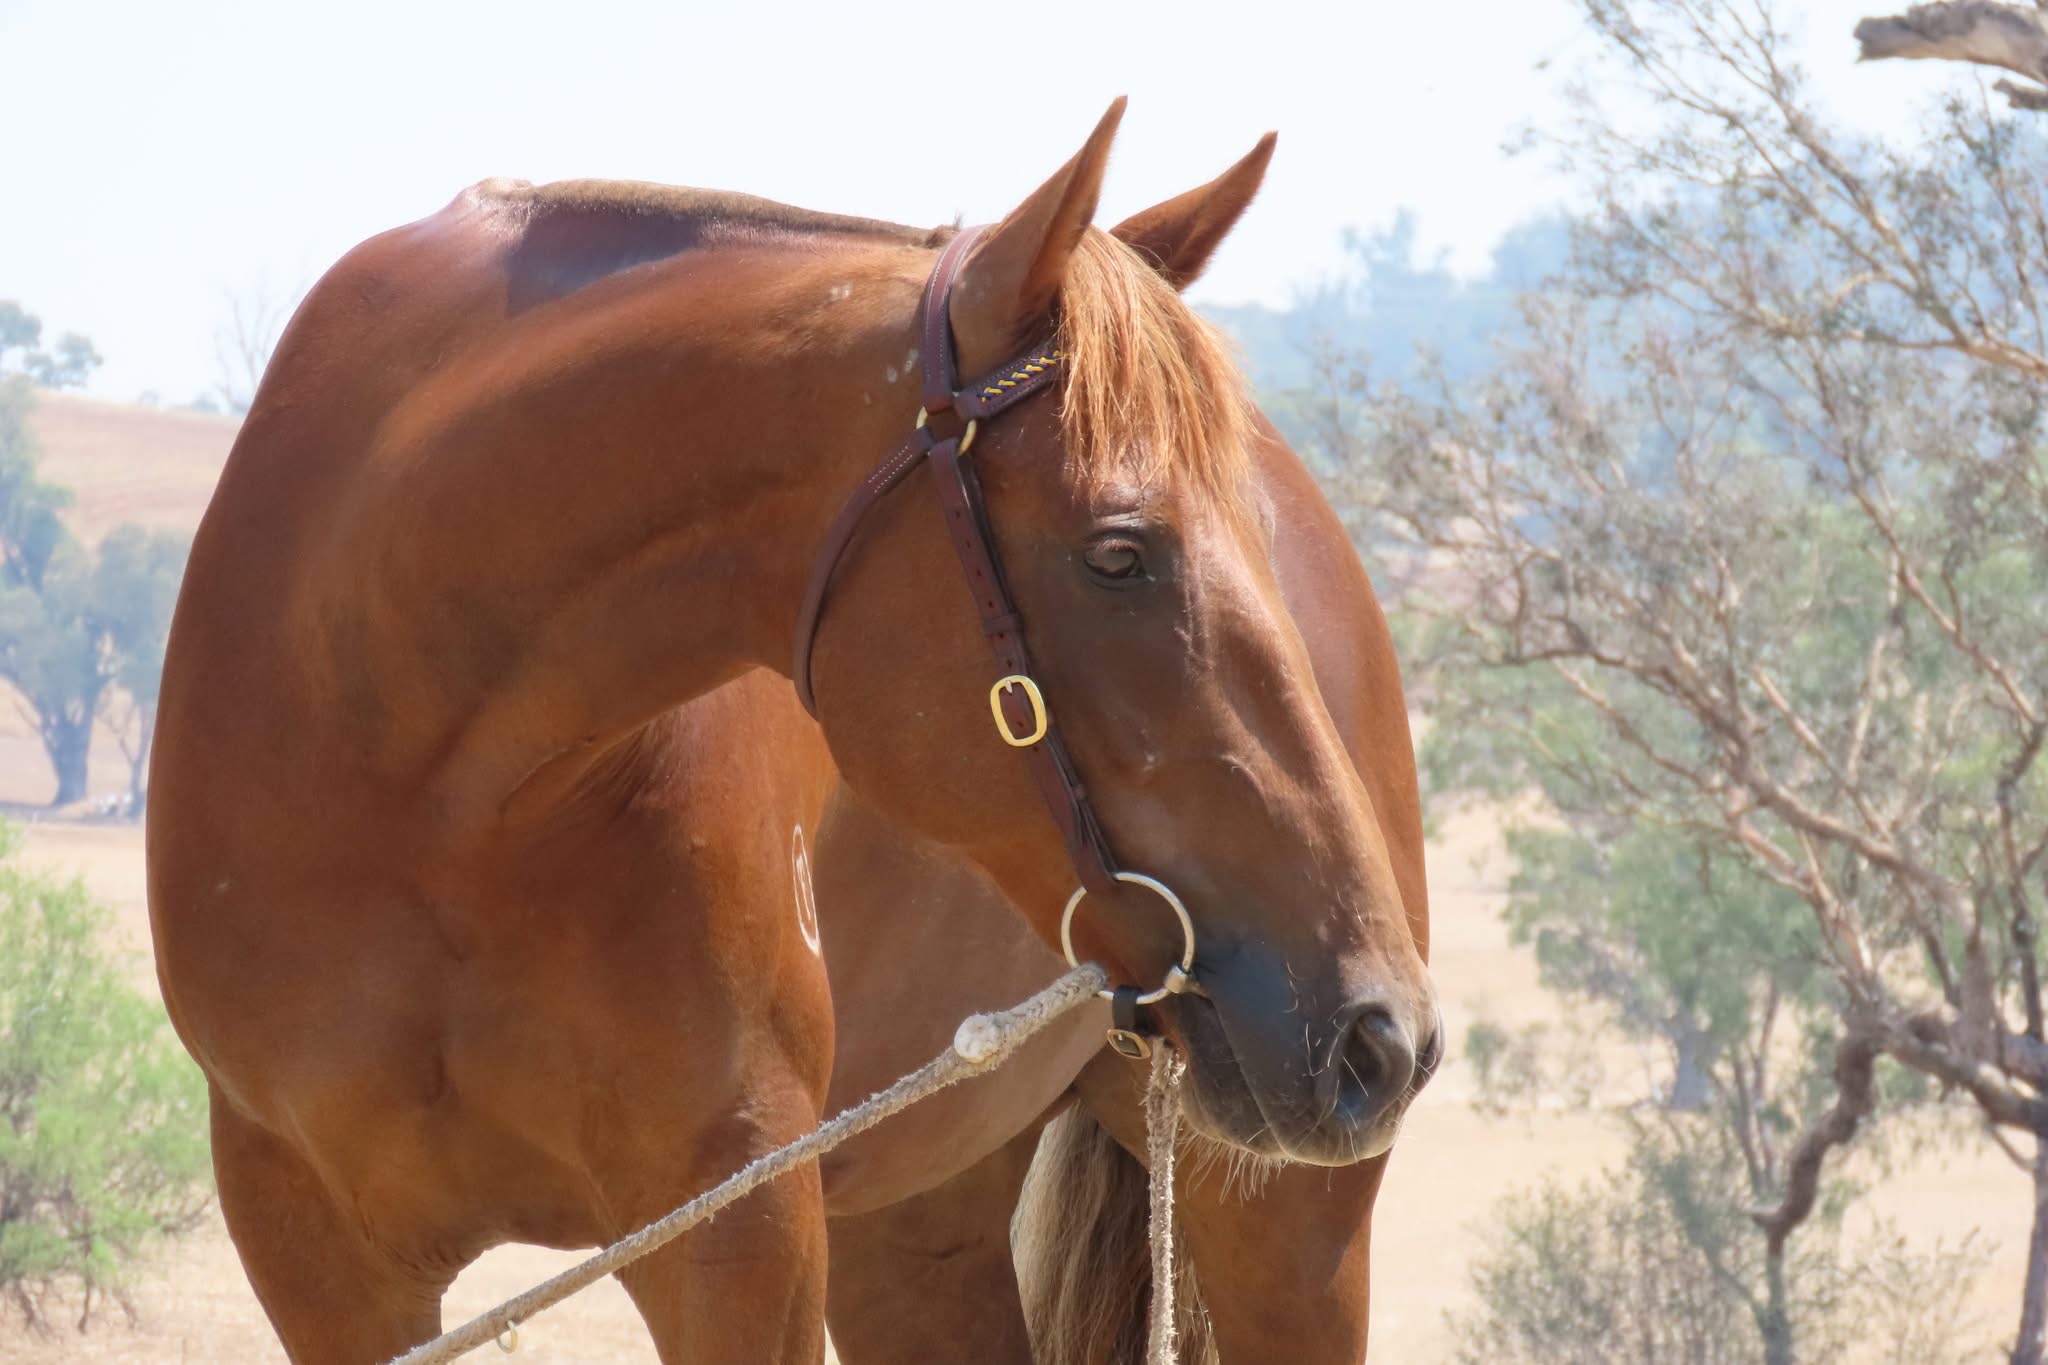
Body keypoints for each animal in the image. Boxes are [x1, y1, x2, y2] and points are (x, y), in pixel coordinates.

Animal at [147, 99, 1438, 1364]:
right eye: (1119, 554)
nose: (1380, 1032)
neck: (421, 776)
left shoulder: (737, 1231)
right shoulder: (321, 1260)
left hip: (1288, 1237)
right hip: (910, 1233)